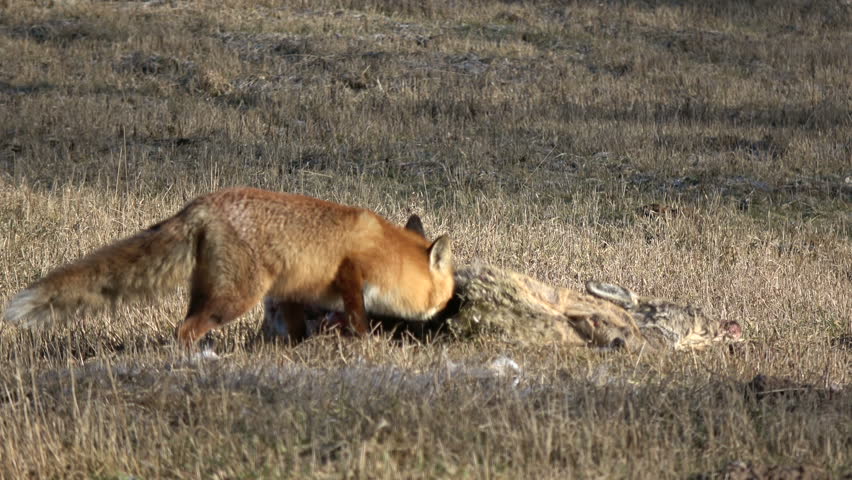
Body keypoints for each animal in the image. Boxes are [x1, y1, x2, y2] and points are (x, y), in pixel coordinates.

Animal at [1, 187, 452, 344]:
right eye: (445, 296)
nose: (447, 312)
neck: (388, 253)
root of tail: (200, 205)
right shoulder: (350, 274)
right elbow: (356, 316)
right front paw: (364, 342)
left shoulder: (291, 291)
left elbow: (295, 330)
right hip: (235, 297)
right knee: (185, 329)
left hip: (214, 290)